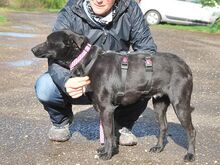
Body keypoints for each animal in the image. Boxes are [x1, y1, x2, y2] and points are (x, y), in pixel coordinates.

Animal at [31, 29, 196, 161]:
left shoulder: (106, 109)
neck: (87, 60)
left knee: (191, 131)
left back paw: (190, 155)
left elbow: (108, 134)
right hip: (159, 103)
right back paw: (159, 148)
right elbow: (107, 132)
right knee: (163, 127)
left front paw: (107, 154)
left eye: (48, 41)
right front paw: (105, 150)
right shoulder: (103, 109)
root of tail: (185, 65)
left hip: (180, 103)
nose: (32, 49)